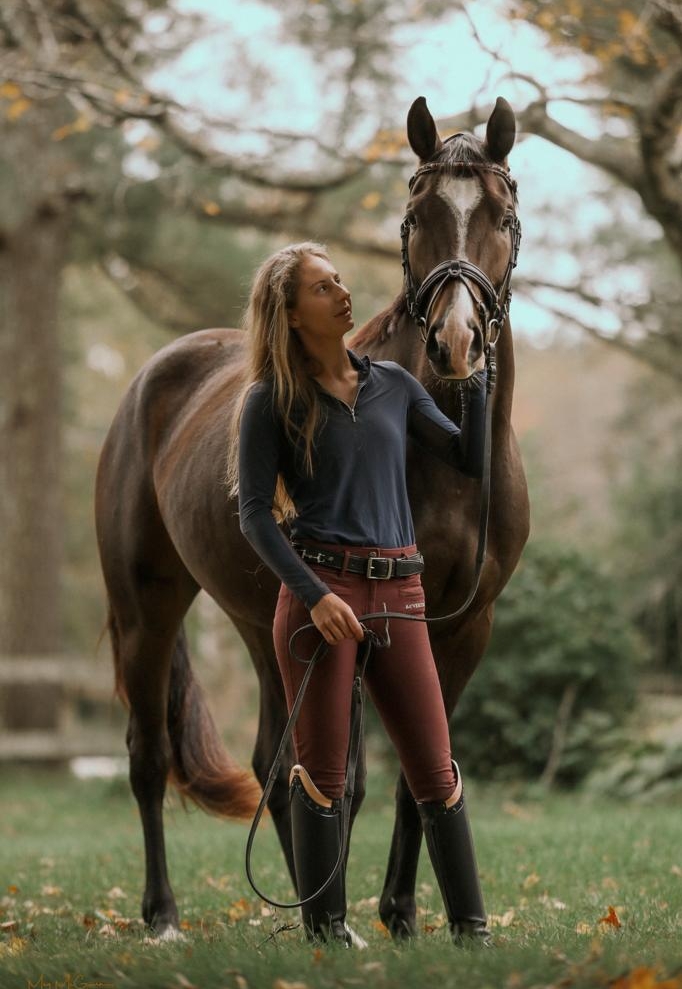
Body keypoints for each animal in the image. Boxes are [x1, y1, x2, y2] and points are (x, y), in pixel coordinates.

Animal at [95, 94, 529, 940]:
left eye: (504, 213)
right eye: (416, 214)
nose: (457, 341)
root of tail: (153, 380)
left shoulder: (464, 625)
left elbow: (420, 770)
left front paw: (400, 914)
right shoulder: (361, 627)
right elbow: (349, 777)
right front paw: (359, 915)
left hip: (263, 621)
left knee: (275, 763)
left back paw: (302, 907)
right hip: (147, 609)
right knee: (149, 755)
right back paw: (164, 915)